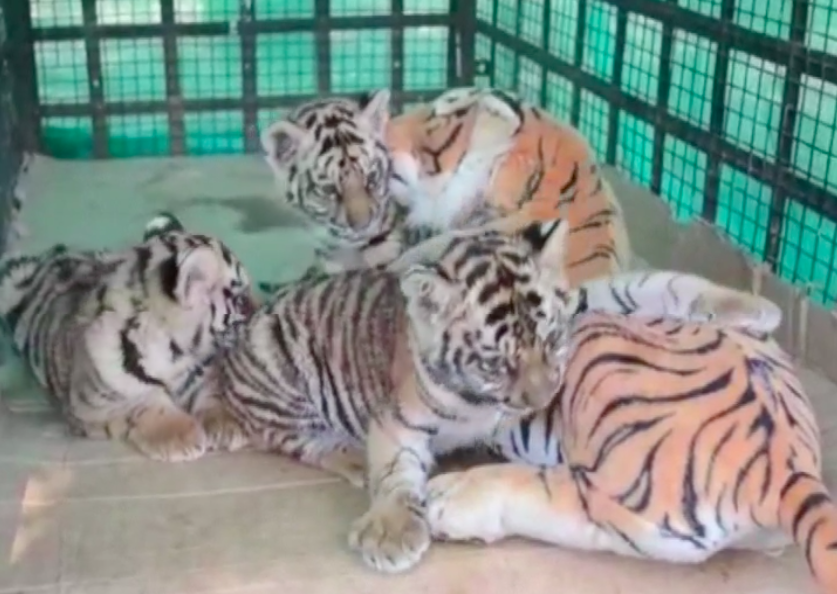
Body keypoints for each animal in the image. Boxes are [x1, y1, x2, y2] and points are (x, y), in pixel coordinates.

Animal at [0, 213, 256, 461]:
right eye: (242, 302)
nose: (259, 314)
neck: (174, 353)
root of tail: (53, 254)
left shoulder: (200, 375)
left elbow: (211, 395)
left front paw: (228, 425)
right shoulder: (92, 405)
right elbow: (142, 405)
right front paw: (183, 437)